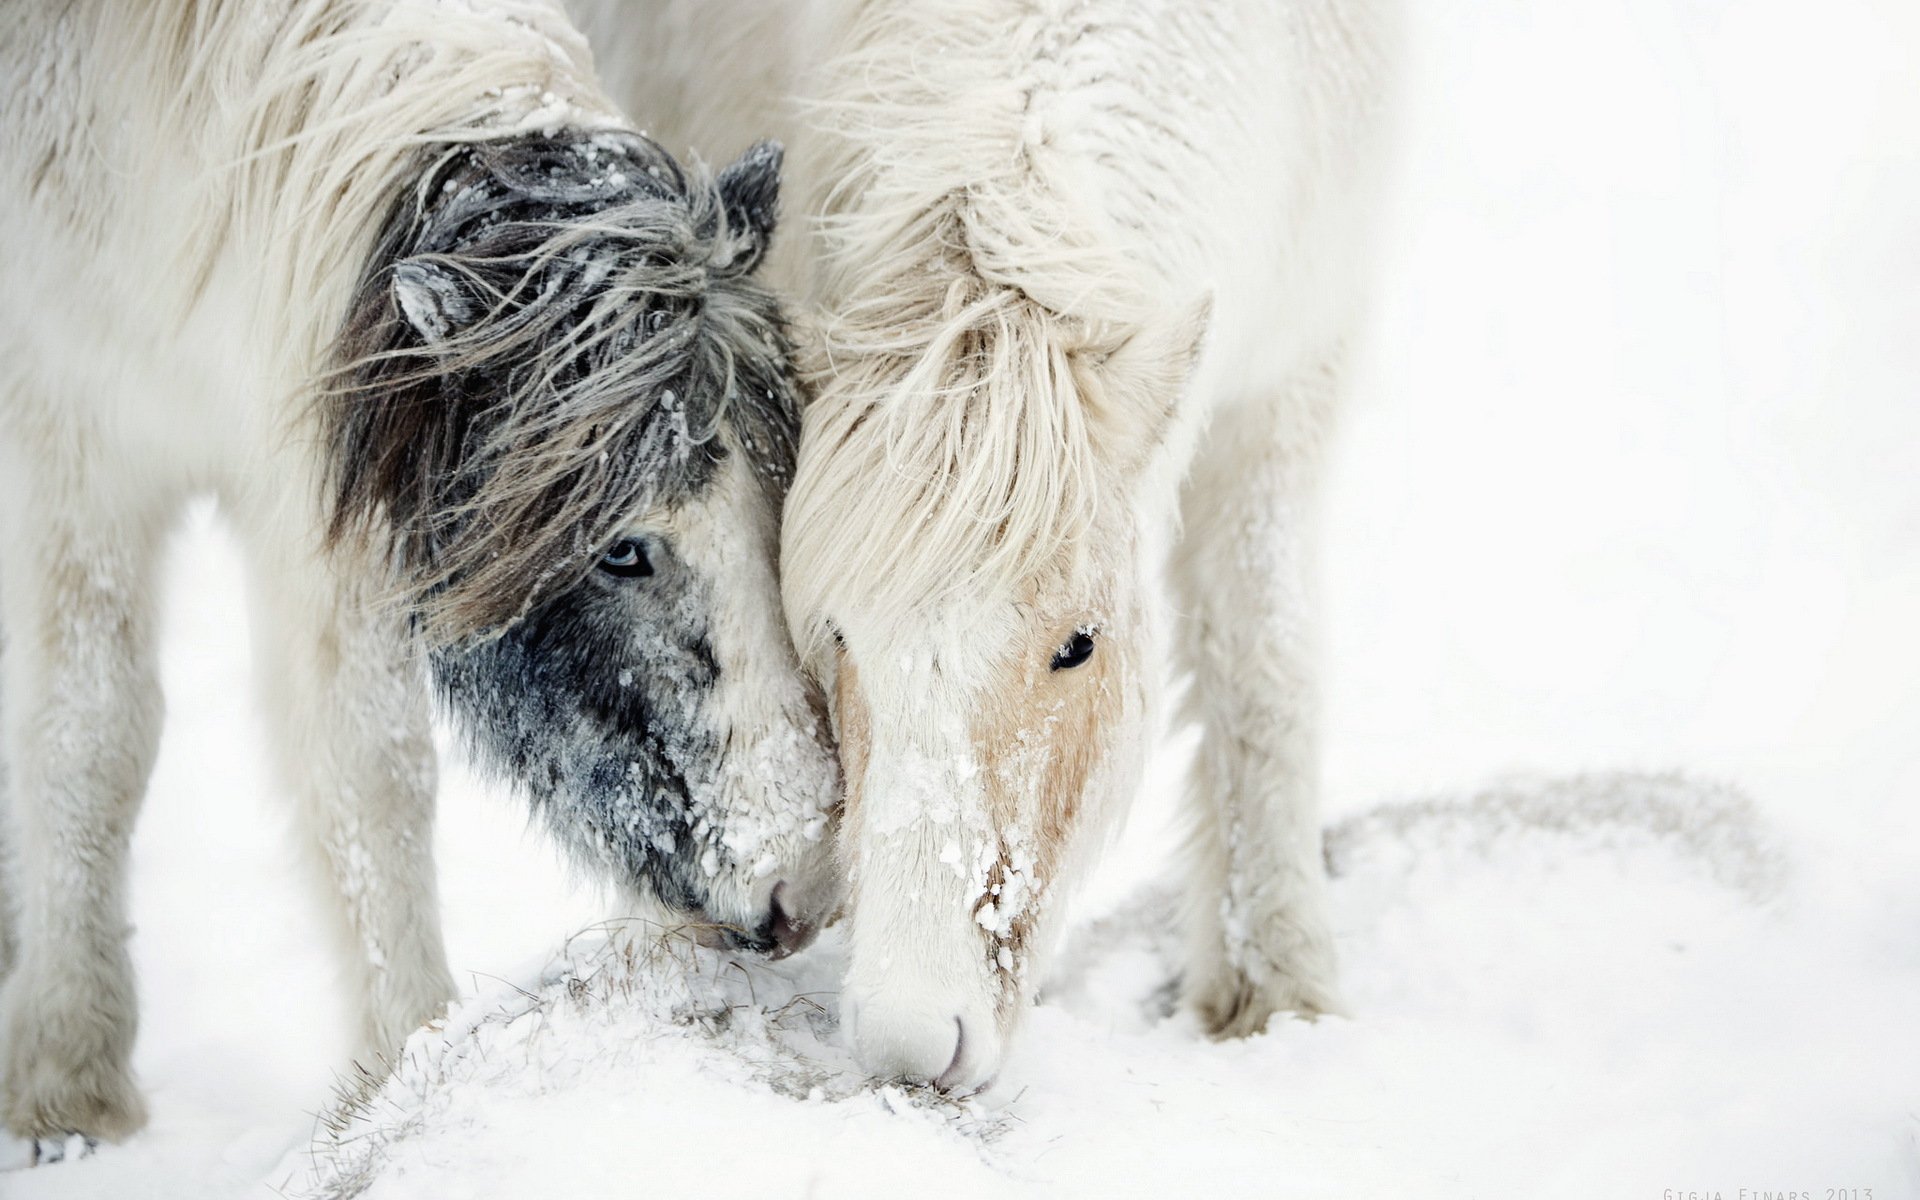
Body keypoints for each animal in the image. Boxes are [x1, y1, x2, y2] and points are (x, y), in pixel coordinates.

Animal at [1, 0, 840, 1159]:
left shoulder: (327, 513)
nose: (807, 891)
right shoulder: (74, 450)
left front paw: (404, 1065)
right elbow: (92, 734)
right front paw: (68, 1080)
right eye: (622, 548)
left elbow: (366, 773)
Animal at [576, 0, 1405, 1082]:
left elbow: (1263, 668)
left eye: (1079, 646)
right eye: (836, 636)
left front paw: (1280, 992)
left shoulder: (1292, 379)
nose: (913, 1042)